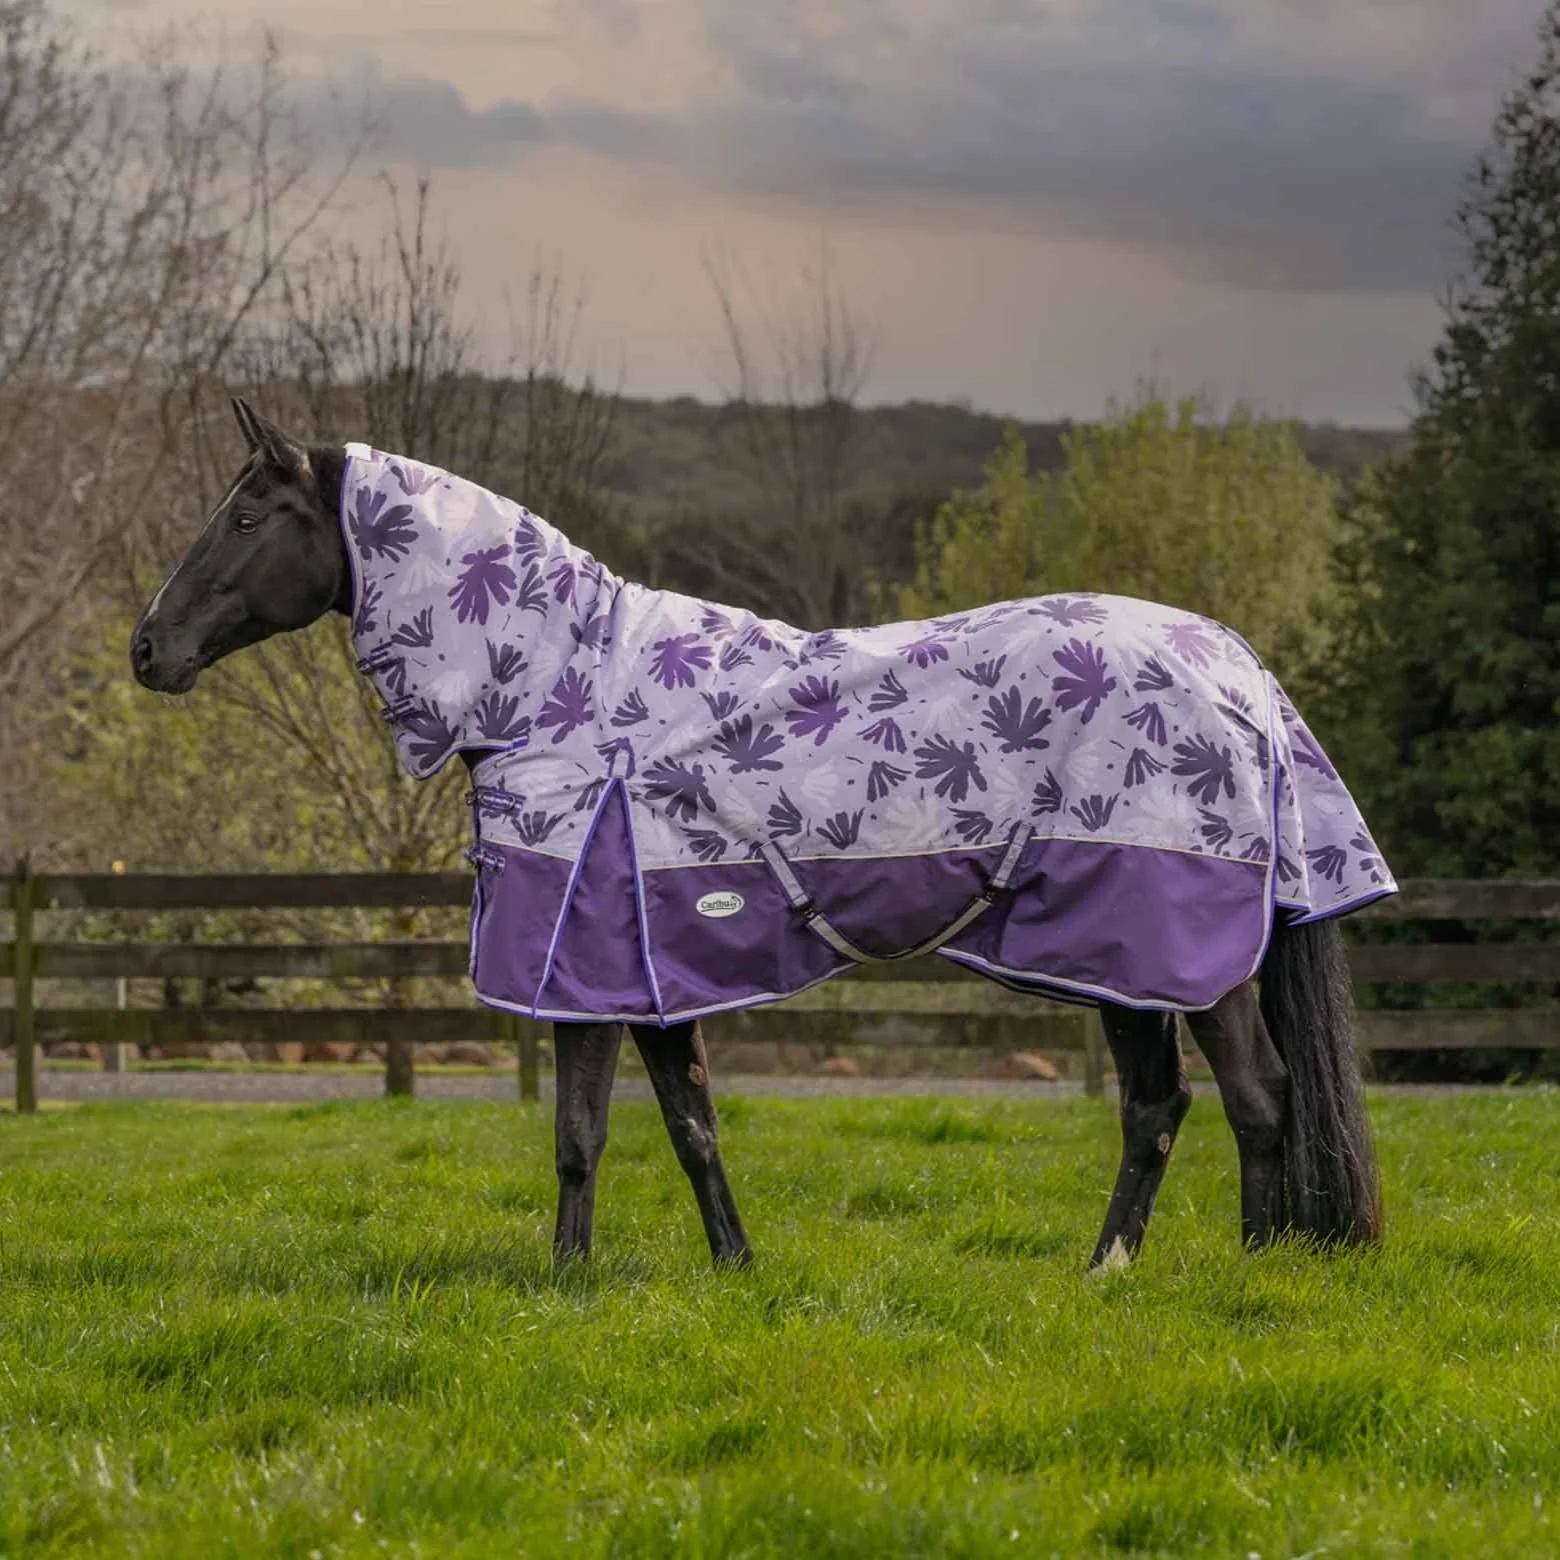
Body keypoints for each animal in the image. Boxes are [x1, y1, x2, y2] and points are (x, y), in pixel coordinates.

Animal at [131, 398, 1390, 1273]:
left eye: (245, 516)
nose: (149, 648)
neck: (561, 689)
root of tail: (1238, 670)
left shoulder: (584, 966)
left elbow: (581, 1133)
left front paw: (565, 1280)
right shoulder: (644, 973)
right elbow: (689, 1126)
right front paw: (731, 1265)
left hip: (1155, 950)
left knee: (1250, 1096)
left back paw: (1218, 1271)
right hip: (1114, 963)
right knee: (1165, 1107)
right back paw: (1121, 1267)